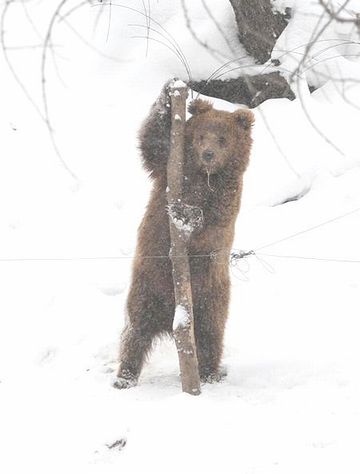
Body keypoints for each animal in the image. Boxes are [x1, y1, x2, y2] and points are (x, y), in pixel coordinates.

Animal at [114, 84, 253, 388]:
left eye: (223, 138)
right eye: (201, 135)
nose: (209, 154)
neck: (204, 175)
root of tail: (170, 320)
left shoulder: (227, 196)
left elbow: (213, 226)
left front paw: (185, 215)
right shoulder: (169, 171)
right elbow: (152, 143)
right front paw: (168, 94)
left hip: (210, 296)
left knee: (210, 335)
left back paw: (211, 373)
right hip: (147, 283)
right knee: (136, 330)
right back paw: (124, 377)